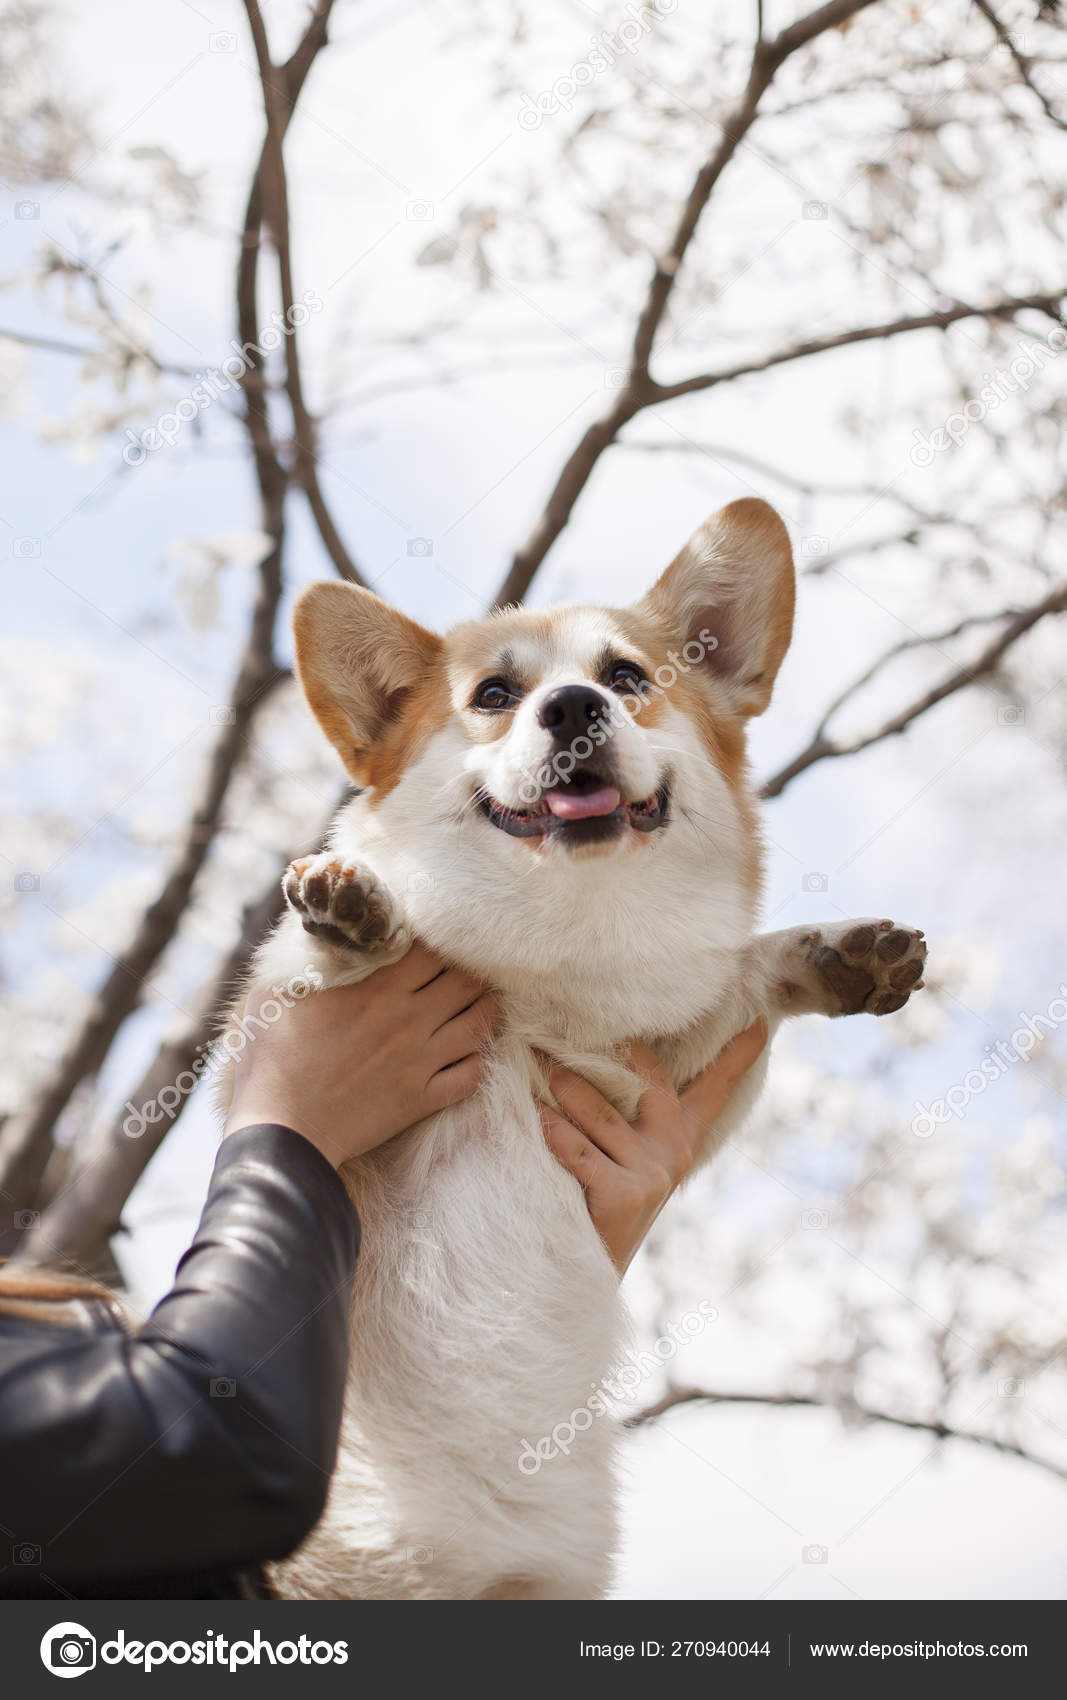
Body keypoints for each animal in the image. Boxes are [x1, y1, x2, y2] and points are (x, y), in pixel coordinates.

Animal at [236, 496, 924, 1598]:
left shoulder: (661, 1078)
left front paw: (837, 954)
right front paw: (355, 913)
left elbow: (740, 978)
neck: (561, 953)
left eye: (628, 677)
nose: (569, 708)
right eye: (494, 694)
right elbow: (317, 973)